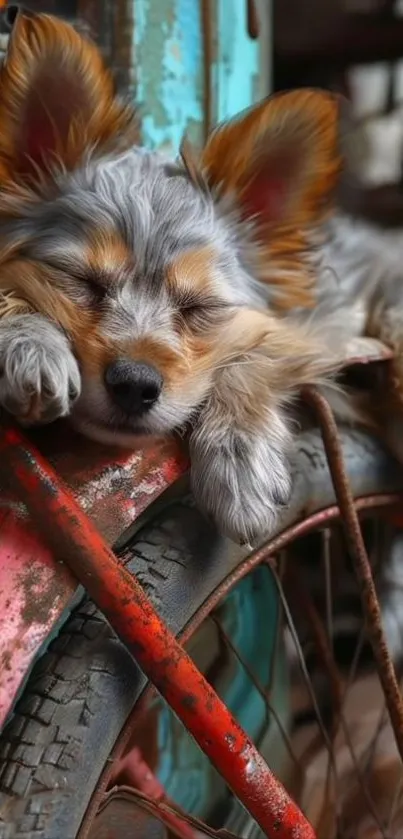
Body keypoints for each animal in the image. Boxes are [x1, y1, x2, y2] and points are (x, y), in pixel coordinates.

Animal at [0, 8, 396, 544]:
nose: (135, 384)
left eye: (200, 308)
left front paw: (240, 457)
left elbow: (257, 352)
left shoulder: (325, 325)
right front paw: (30, 342)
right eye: (82, 282)